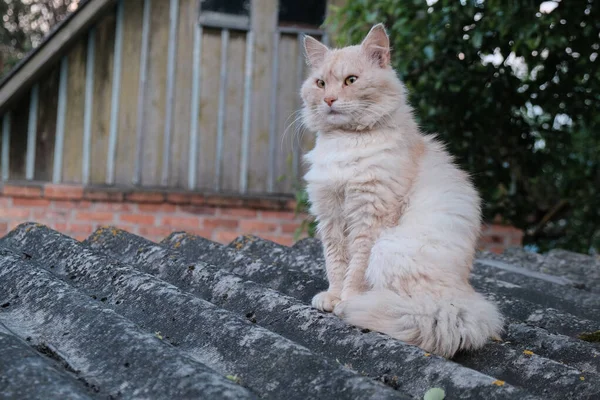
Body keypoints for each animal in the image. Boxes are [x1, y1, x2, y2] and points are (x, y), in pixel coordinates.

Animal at [302, 23, 504, 358]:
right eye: (320, 83)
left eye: (351, 80)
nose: (329, 99)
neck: (346, 142)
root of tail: (462, 301)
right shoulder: (330, 214)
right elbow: (335, 264)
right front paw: (331, 297)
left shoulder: (370, 216)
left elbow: (355, 269)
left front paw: (346, 299)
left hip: (389, 248)